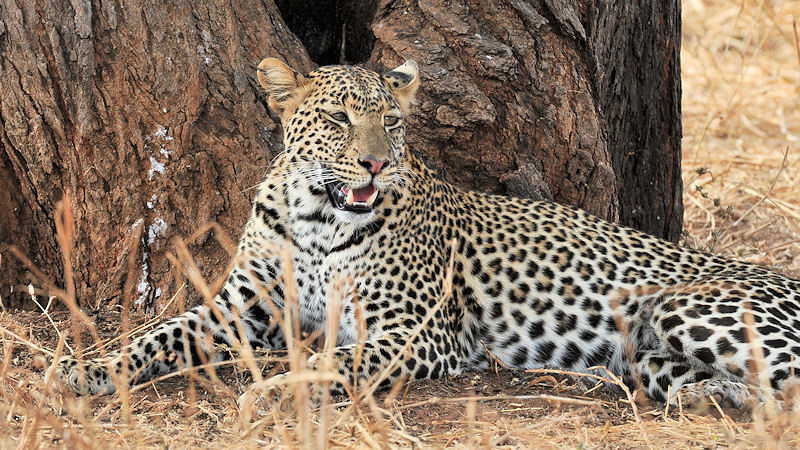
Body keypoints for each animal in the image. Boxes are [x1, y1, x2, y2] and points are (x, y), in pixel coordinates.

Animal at [58, 57, 800, 409]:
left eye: (391, 121)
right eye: (337, 118)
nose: (375, 163)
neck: (317, 216)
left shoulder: (413, 330)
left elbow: (337, 361)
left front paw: (270, 392)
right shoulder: (244, 305)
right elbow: (159, 333)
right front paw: (81, 368)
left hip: (681, 306)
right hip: (650, 353)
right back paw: (716, 399)